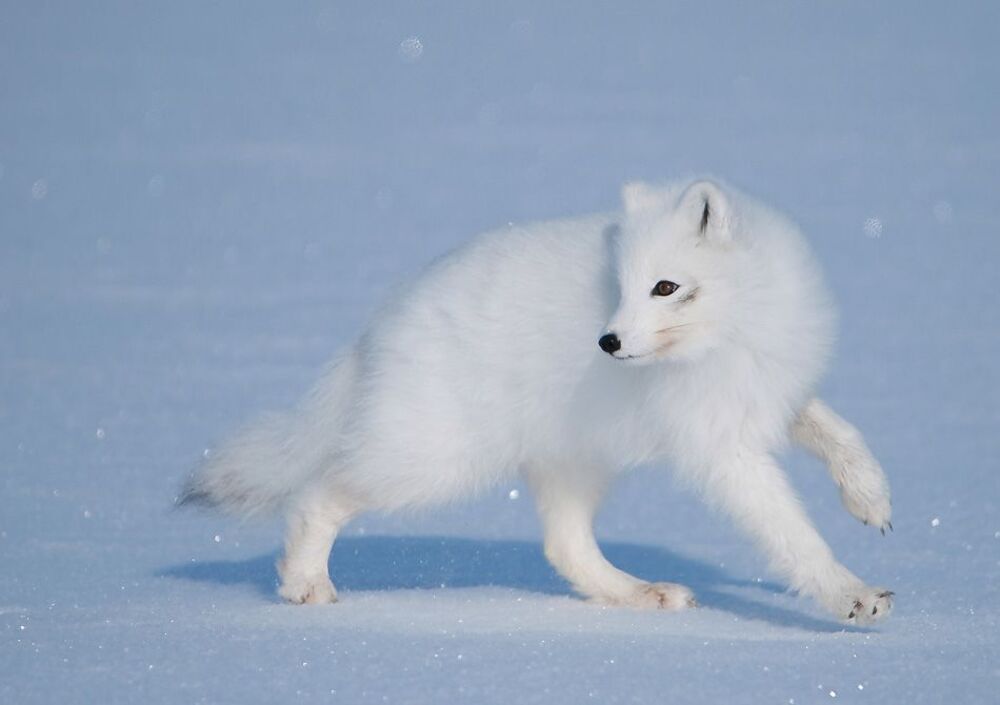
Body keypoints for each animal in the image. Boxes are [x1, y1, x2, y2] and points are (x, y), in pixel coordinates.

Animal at [181, 178, 894, 624]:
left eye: (664, 287)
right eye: (620, 288)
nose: (607, 341)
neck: (736, 330)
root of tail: (381, 322)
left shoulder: (768, 394)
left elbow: (840, 432)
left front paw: (870, 498)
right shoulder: (721, 448)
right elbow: (791, 533)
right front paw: (851, 595)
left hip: (573, 461)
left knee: (565, 548)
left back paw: (639, 593)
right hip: (428, 461)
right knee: (317, 496)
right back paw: (306, 586)